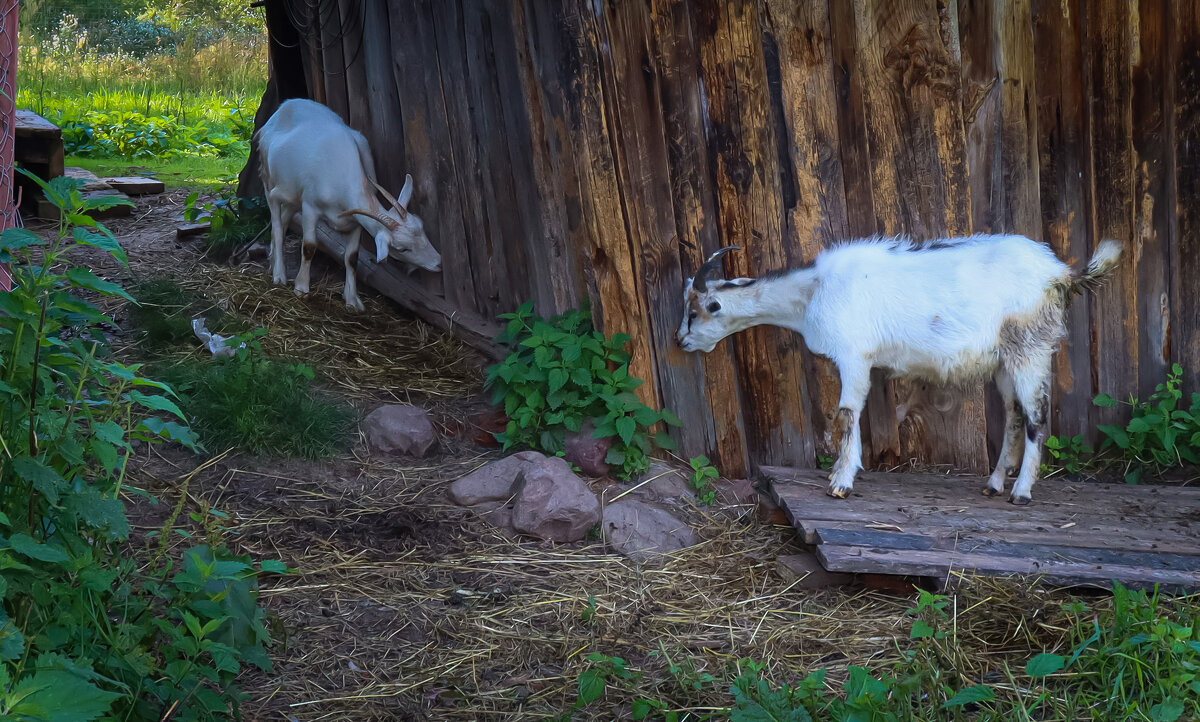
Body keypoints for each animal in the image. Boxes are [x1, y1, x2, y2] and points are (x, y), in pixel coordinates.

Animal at [256, 98, 441, 309]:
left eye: (423, 228)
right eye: (402, 248)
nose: (438, 263)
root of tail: (281, 108)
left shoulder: (355, 221)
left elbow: (352, 258)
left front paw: (353, 300)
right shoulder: (310, 207)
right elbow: (309, 247)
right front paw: (301, 288)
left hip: (294, 195)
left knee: (284, 219)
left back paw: (273, 263)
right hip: (268, 179)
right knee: (277, 224)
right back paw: (279, 275)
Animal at [676, 235, 1123, 501]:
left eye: (697, 311)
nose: (681, 341)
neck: (812, 293)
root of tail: (1060, 274)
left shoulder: (853, 355)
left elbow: (845, 413)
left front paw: (841, 481)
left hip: (1031, 347)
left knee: (1036, 414)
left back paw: (1022, 491)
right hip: (1004, 360)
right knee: (1014, 414)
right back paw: (995, 483)